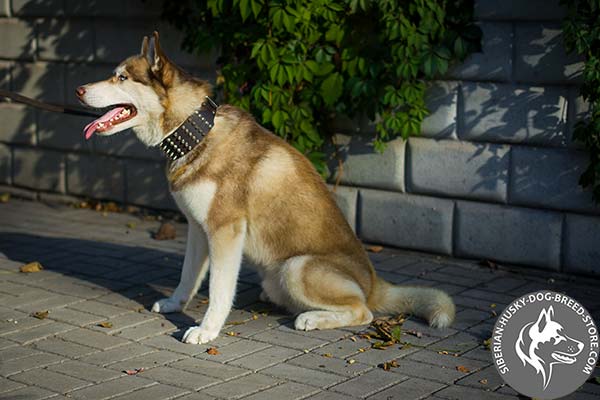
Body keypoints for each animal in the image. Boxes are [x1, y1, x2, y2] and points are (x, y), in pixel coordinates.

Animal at [76, 32, 454, 344]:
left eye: (121, 77)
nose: (79, 90)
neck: (196, 133)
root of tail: (376, 283)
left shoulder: (225, 232)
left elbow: (219, 289)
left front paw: (207, 330)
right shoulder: (198, 228)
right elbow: (189, 276)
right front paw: (174, 303)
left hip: (297, 268)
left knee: (364, 312)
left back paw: (312, 318)